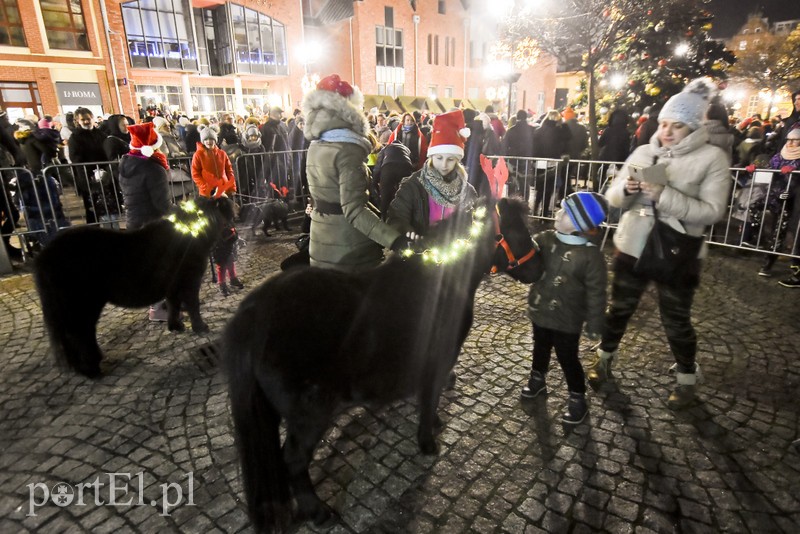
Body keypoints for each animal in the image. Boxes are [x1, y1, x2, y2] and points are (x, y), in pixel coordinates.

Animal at [36, 199, 233, 378]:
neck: (190, 229)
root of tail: (44, 257)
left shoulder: (172, 286)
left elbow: (174, 306)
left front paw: (175, 326)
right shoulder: (190, 281)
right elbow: (193, 306)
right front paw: (200, 327)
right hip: (83, 306)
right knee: (81, 335)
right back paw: (92, 370)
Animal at [222, 198, 540, 534]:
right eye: (517, 230)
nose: (541, 267)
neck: (444, 273)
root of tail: (256, 312)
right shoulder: (438, 362)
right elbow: (430, 399)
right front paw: (428, 442)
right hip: (310, 414)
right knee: (293, 460)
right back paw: (317, 512)